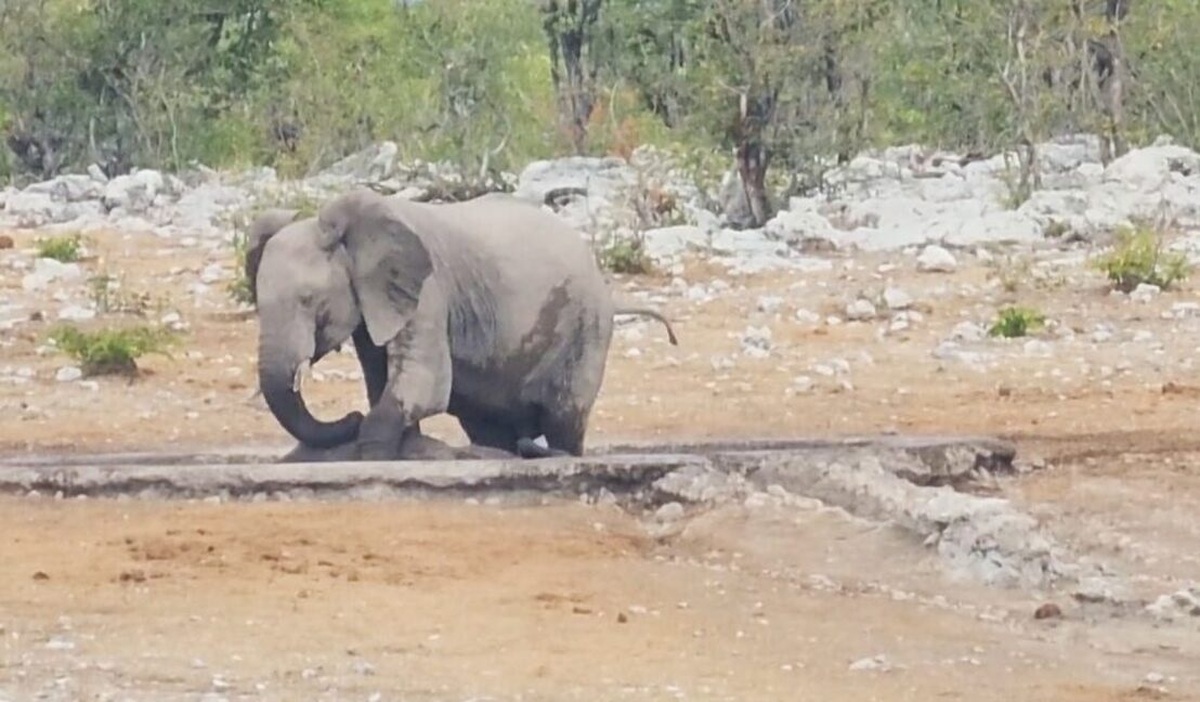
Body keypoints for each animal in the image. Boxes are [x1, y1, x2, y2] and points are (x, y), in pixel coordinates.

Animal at [246, 186, 676, 460]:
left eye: (309, 301)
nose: (348, 418)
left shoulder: (429, 292)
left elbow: (425, 383)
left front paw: (374, 451)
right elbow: (383, 377)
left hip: (586, 328)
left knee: (564, 419)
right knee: (489, 426)